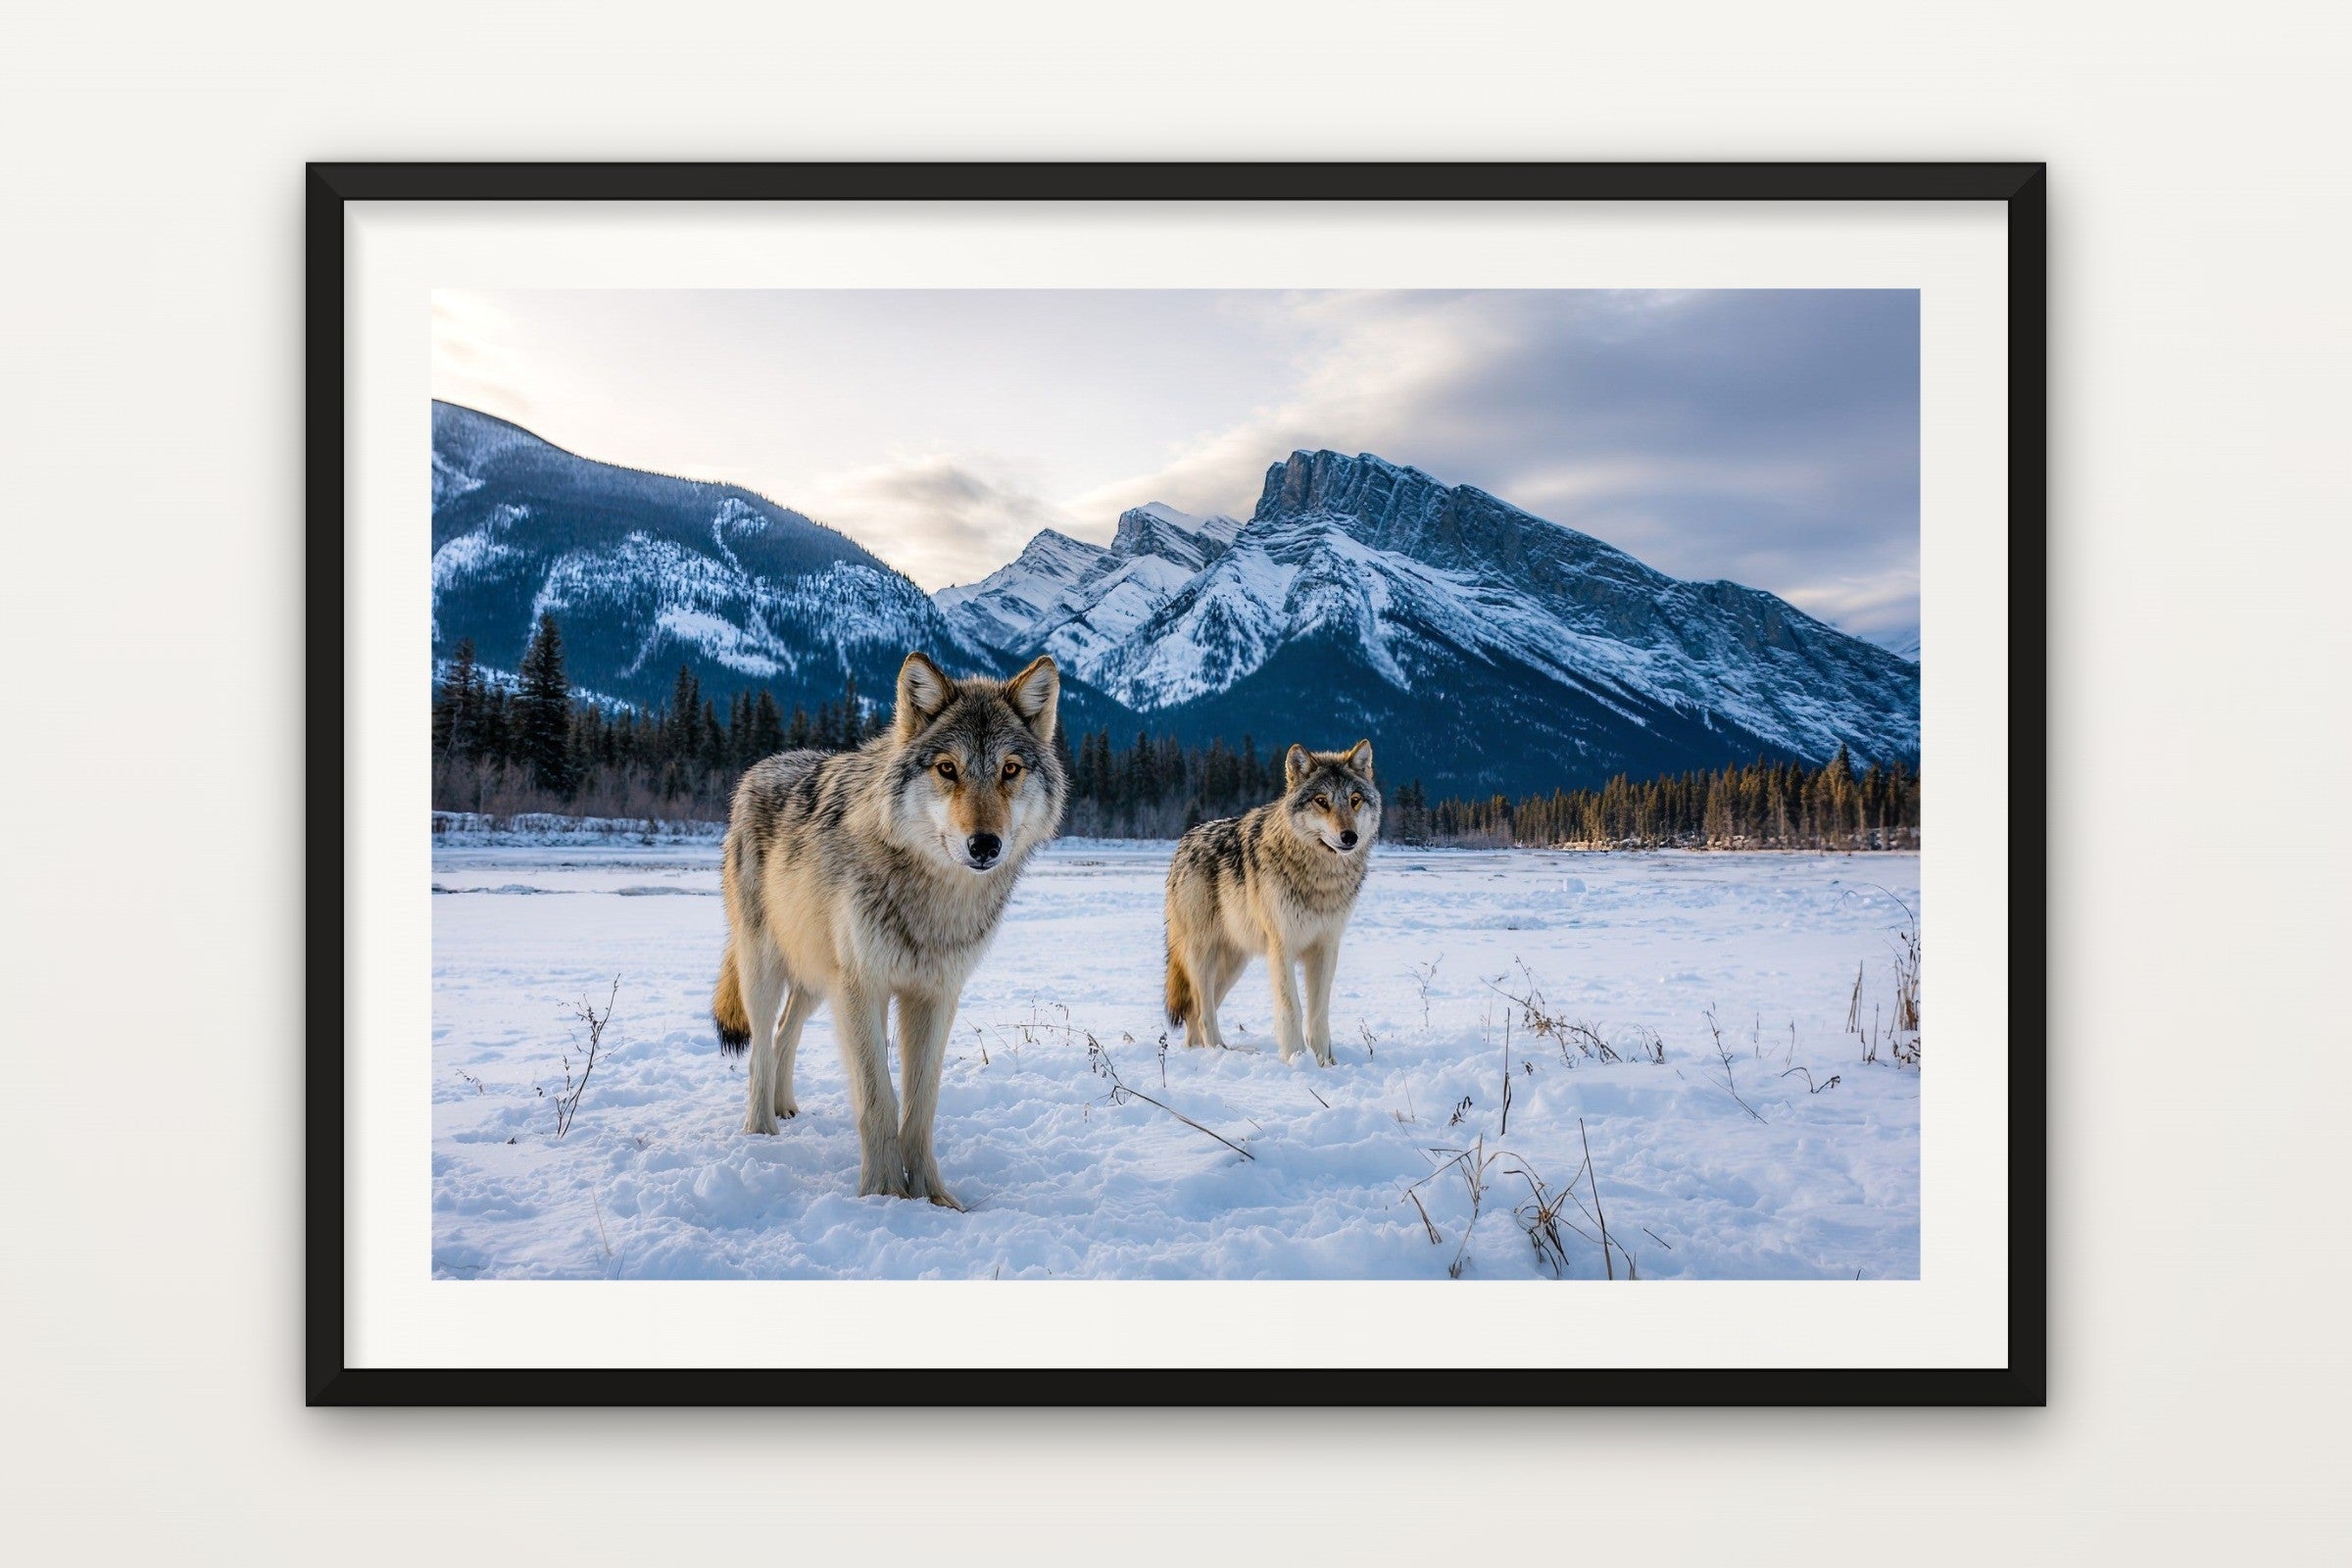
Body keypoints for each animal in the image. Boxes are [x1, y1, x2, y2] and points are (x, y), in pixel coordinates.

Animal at [710, 650, 1065, 1207]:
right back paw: (762, 1130)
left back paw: (786, 1108)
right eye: (947, 769)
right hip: (768, 970)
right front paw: (882, 1195)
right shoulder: (863, 988)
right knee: (760, 1048)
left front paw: (933, 1198)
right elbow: (878, 1100)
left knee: (786, 1032)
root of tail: (759, 767)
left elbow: (920, 1107)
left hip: (817, 979)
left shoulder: (935, 994)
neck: (934, 900)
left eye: (1010, 770)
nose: (985, 844)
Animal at [1164, 740, 1380, 1066]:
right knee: (1203, 1014)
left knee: (1194, 1016)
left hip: (1234, 963)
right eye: (1321, 801)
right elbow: (1292, 1010)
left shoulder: (1326, 947)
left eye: (1354, 800)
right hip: (1204, 955)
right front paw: (1296, 1060)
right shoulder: (1282, 947)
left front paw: (1325, 1065)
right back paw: (1221, 1052)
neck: (1321, 881)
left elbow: (1319, 1015)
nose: (1349, 837)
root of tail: (1184, 841)